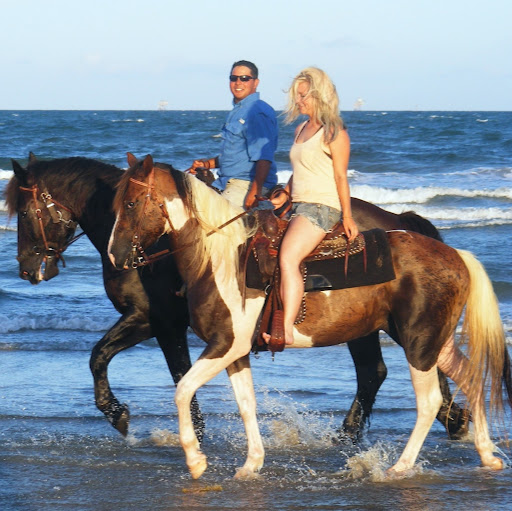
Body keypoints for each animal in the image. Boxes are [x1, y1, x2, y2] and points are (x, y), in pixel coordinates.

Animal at [108, 155, 512, 480]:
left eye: (130, 202)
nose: (114, 255)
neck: (220, 259)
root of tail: (455, 254)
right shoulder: (236, 353)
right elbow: (246, 404)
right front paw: (251, 464)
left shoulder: (225, 344)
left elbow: (182, 391)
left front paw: (195, 461)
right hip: (432, 341)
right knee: (470, 377)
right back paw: (487, 455)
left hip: (418, 343)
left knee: (428, 401)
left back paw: (399, 467)